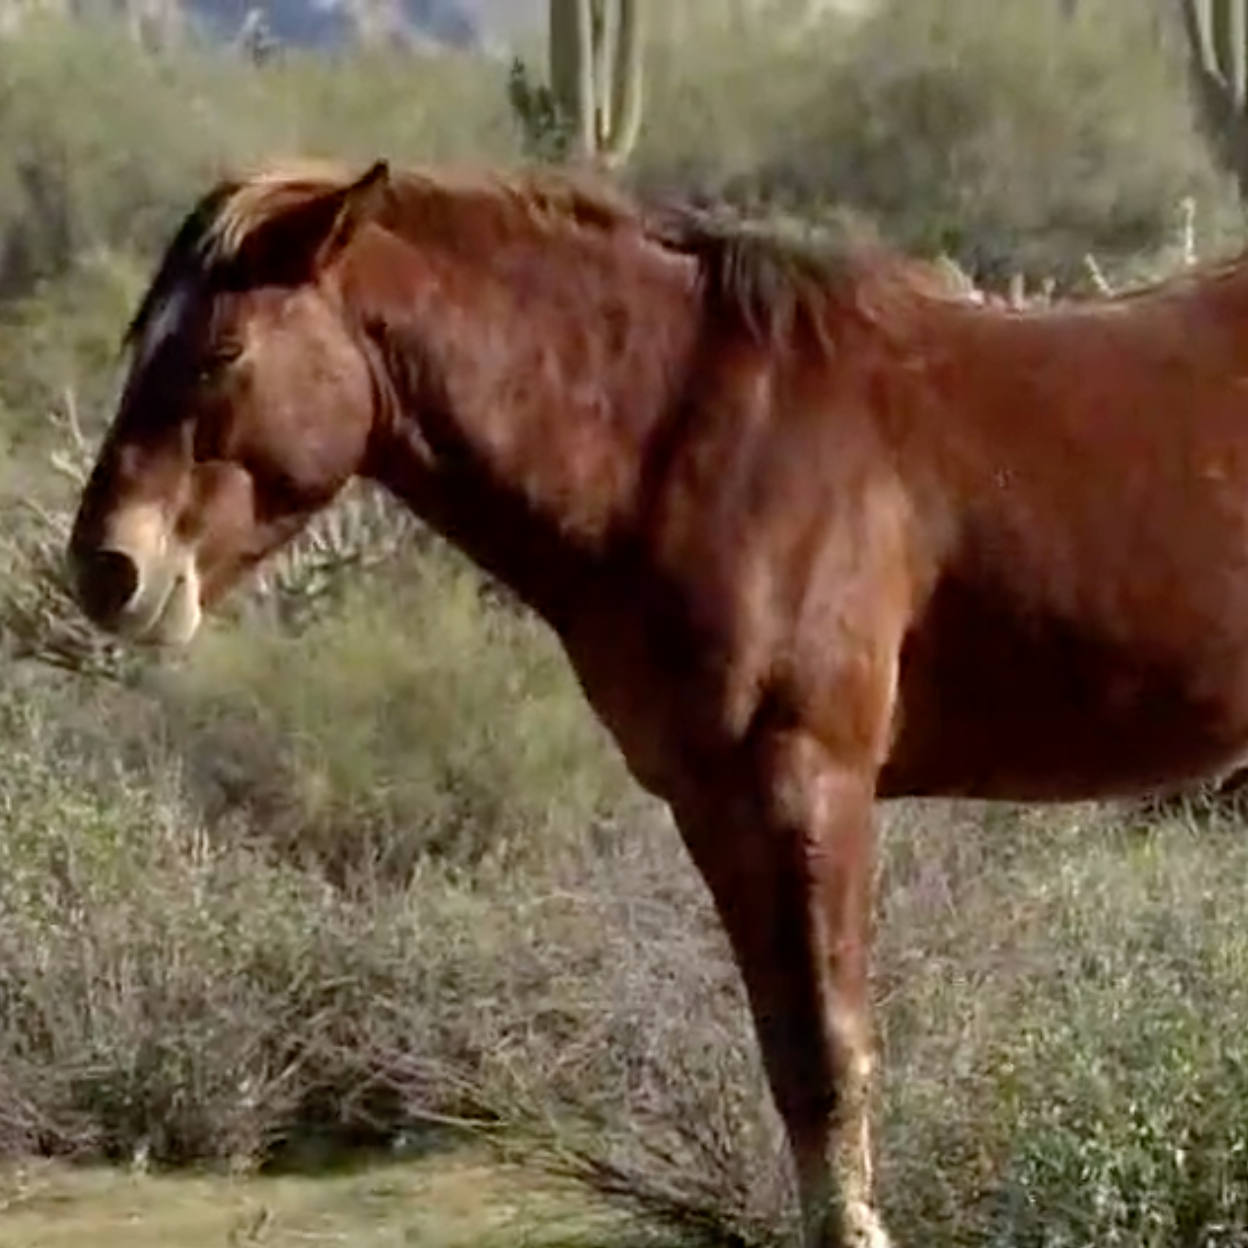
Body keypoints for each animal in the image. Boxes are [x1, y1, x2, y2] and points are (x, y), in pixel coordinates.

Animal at [63, 155, 1248, 1248]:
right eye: (139, 345)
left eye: (220, 352)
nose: (108, 569)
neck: (686, 442)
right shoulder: (712, 802)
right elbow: (786, 1056)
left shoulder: (806, 781)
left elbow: (830, 1058)